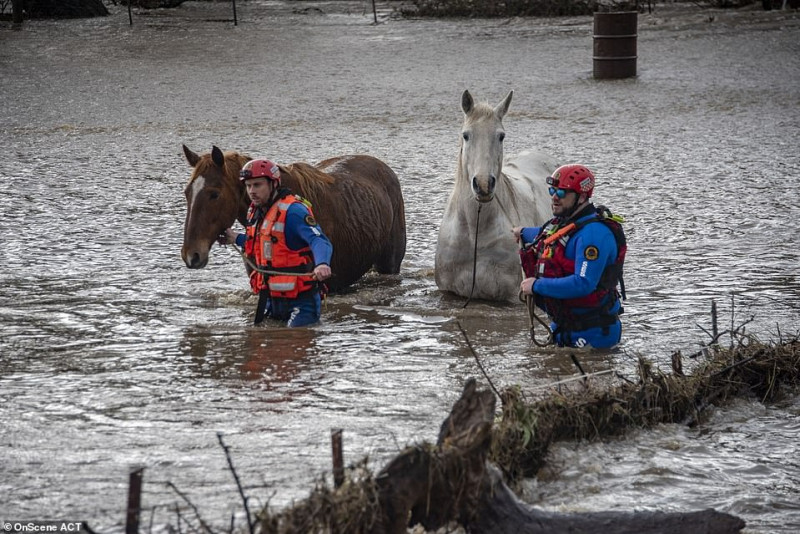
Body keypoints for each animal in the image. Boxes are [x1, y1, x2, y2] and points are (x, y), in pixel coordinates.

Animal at [434, 90, 560, 304]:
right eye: (466, 135)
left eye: (501, 136)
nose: (483, 184)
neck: (475, 232)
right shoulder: (447, 292)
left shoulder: (513, 296)